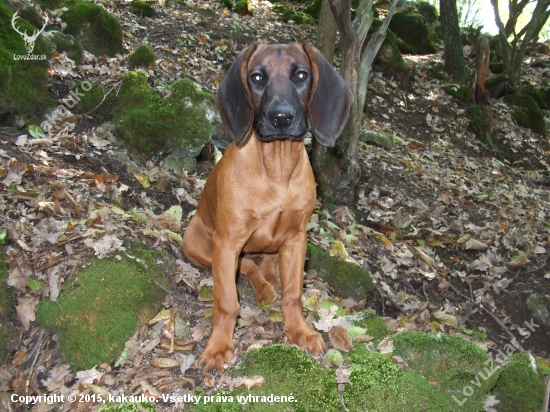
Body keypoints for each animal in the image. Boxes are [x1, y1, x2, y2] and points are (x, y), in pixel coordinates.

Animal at [183, 42, 352, 374]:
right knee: (246, 266)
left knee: (266, 264)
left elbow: (294, 294)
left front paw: (300, 330)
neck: (277, 168)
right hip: (194, 242)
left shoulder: (298, 238)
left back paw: (272, 277)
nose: (280, 118)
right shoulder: (227, 241)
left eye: (301, 75)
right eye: (257, 78)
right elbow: (227, 302)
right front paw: (218, 347)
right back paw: (262, 288)